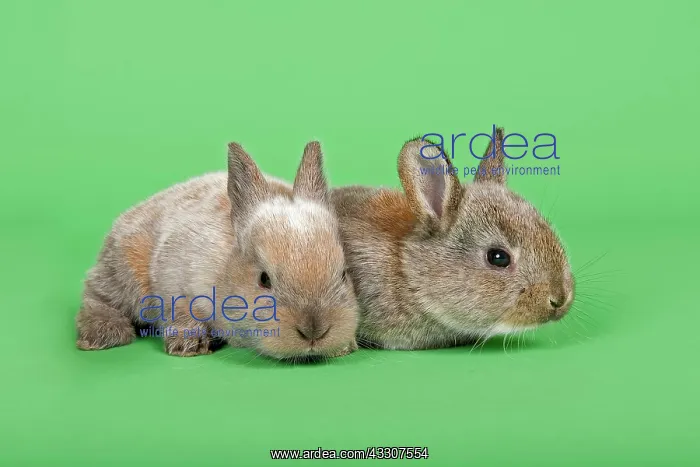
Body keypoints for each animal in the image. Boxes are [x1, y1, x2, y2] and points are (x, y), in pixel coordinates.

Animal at [76, 141, 359, 361]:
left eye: (344, 275)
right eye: (264, 279)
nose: (314, 332)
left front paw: (345, 347)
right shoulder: (175, 283)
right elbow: (179, 312)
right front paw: (188, 346)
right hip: (125, 268)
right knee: (96, 296)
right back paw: (102, 335)